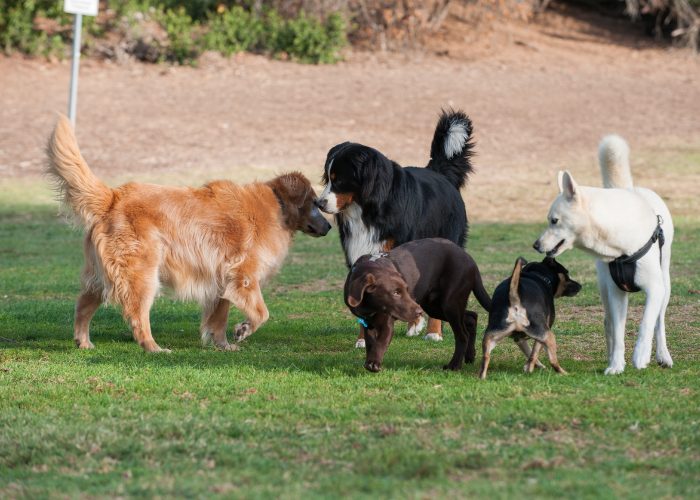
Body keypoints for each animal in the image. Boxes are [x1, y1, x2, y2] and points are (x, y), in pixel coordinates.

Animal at [46, 115, 330, 354]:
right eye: (315, 202)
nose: (328, 227)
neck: (277, 205)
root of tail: (113, 197)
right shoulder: (244, 277)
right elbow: (262, 313)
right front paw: (243, 330)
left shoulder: (222, 280)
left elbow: (218, 318)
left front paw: (223, 344)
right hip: (142, 276)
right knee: (137, 317)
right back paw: (153, 347)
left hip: (101, 277)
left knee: (82, 306)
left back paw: (83, 342)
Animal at [320, 109, 478, 346]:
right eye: (328, 177)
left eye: (339, 180)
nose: (319, 203)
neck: (367, 209)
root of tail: (440, 173)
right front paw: (363, 339)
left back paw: (433, 331)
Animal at [342, 238, 490, 372]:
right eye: (395, 292)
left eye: (406, 290)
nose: (419, 312)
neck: (371, 306)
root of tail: (469, 259)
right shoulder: (369, 323)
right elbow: (371, 344)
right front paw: (370, 361)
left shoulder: (387, 323)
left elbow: (380, 343)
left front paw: (374, 364)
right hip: (436, 307)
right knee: (471, 317)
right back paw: (470, 356)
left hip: (450, 304)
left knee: (462, 335)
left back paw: (454, 365)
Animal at [536, 135, 672, 374]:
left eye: (554, 220)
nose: (536, 245)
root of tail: (629, 188)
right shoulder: (616, 292)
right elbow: (618, 333)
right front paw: (616, 365)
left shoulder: (655, 289)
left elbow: (646, 323)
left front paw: (640, 356)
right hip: (605, 290)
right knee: (609, 324)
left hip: (665, 285)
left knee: (659, 321)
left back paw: (663, 355)